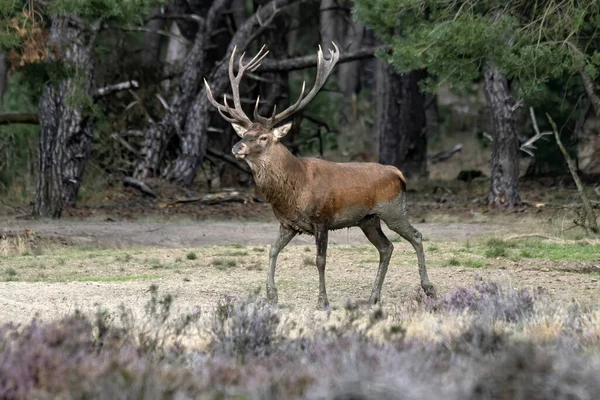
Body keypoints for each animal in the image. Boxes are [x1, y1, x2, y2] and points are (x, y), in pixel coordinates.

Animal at [203, 42, 436, 310]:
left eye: (263, 137)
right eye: (244, 134)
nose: (236, 147)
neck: (293, 191)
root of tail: (399, 173)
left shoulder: (322, 219)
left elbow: (320, 260)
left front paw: (322, 301)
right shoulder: (288, 224)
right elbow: (272, 250)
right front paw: (272, 295)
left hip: (393, 209)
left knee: (416, 236)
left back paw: (428, 288)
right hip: (368, 219)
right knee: (386, 247)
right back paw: (372, 297)